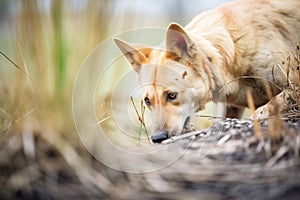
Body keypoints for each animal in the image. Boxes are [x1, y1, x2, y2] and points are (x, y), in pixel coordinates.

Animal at [115, 0, 300, 142]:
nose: (157, 138)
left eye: (172, 95)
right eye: (147, 101)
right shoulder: (231, 107)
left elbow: (273, 103)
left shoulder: (294, 84)